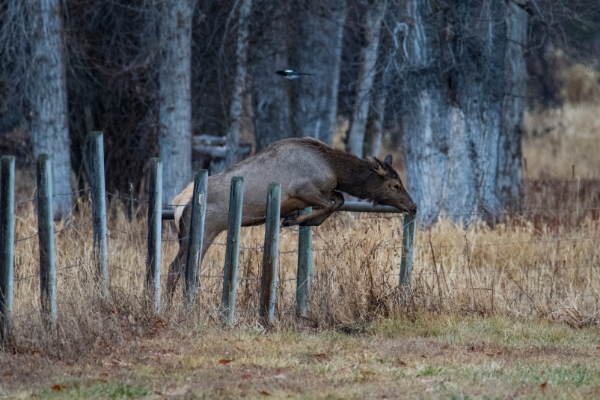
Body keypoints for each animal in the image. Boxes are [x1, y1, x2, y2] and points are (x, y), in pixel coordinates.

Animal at [166, 138, 414, 296]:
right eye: (395, 185)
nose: (413, 206)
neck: (334, 169)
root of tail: (178, 202)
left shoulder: (324, 192)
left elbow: (339, 200)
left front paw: (297, 218)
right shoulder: (304, 189)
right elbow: (331, 204)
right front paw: (293, 220)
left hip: (194, 234)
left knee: (182, 267)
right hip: (201, 231)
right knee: (179, 268)